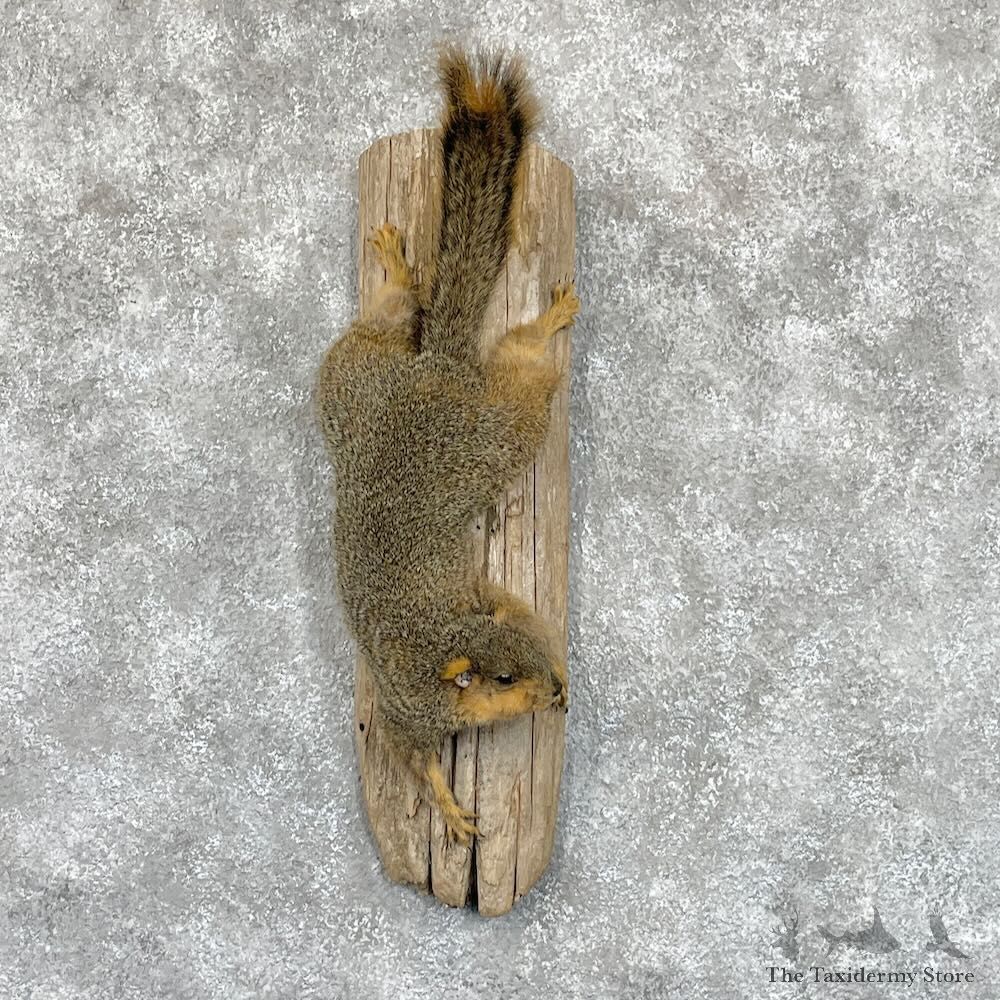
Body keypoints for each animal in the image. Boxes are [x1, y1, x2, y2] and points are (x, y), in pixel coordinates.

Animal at [316, 47, 578, 845]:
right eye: (503, 681)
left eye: (527, 663)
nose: (551, 688)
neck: (445, 637)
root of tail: (438, 371)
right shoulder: (405, 707)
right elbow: (412, 756)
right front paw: (450, 809)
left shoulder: (488, 598)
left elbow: (518, 605)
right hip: (389, 399)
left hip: (380, 392)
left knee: (417, 328)